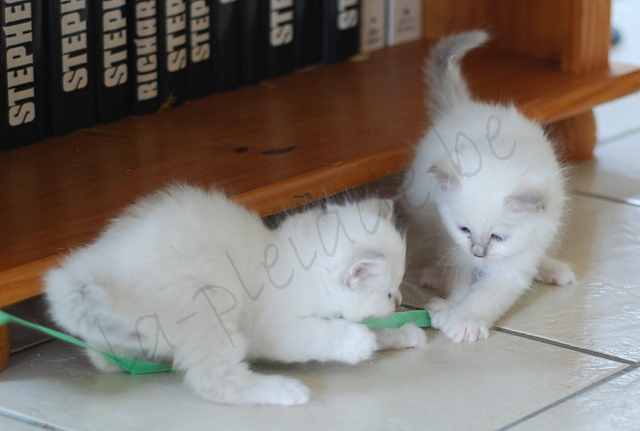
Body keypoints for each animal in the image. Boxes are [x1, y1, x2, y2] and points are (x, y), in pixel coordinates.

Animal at [45, 185, 424, 404]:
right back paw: (284, 390)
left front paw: (402, 334)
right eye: (388, 294)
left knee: (102, 355)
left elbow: (372, 327)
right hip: (210, 309)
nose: (399, 301)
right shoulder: (277, 329)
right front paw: (359, 343)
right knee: (213, 380)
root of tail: (101, 263)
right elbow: (325, 332)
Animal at [400, 31, 576, 344]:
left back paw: (551, 268)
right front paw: (449, 309)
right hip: (423, 210)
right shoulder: (454, 245)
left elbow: (487, 296)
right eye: (464, 229)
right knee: (433, 247)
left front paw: (464, 321)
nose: (478, 253)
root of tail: (463, 107)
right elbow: (459, 280)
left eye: (498, 237)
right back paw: (433, 274)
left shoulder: (515, 261)